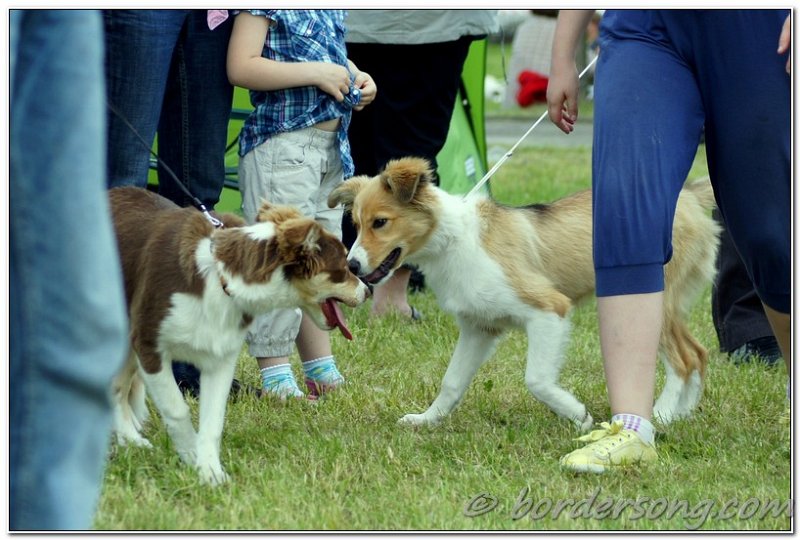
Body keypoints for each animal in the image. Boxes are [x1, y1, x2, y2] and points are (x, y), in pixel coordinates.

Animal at [108, 187, 368, 486]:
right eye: (343, 269)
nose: (367, 291)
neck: (222, 278)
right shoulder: (149, 345)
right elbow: (177, 409)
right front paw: (191, 456)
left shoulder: (220, 357)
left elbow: (213, 420)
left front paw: (210, 473)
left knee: (117, 388)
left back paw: (130, 440)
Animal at [328, 156, 720, 430]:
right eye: (356, 224)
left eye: (381, 222)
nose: (352, 266)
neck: (454, 239)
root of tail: (688, 195)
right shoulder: (479, 327)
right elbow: (451, 382)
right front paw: (427, 420)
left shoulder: (549, 309)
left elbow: (537, 379)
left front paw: (576, 414)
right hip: (672, 303)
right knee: (699, 353)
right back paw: (681, 414)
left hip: (658, 297)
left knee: (684, 359)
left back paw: (662, 415)